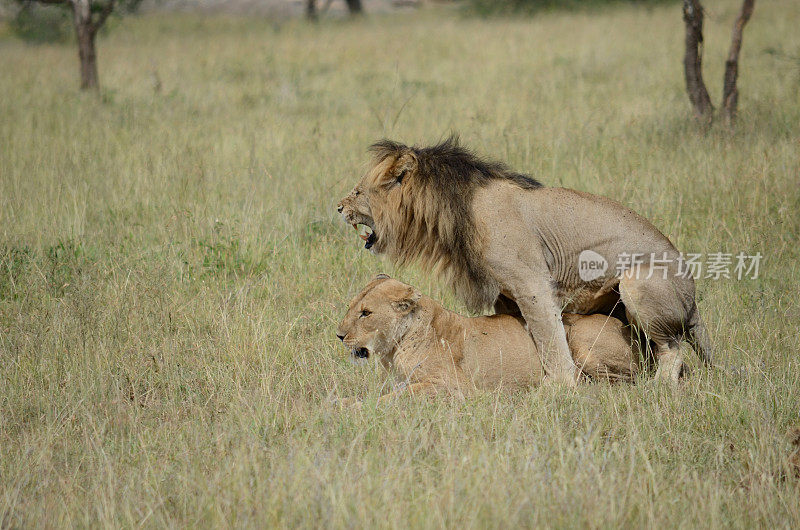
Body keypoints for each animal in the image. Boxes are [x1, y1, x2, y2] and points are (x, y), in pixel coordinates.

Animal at [334, 276, 640, 400]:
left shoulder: (453, 388)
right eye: (352, 307)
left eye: (366, 313)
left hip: (580, 339)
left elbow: (393, 398)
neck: (394, 349)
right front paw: (341, 403)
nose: (339, 335)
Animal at [338, 138, 712, 382]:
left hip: (638, 283)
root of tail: (693, 297)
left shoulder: (532, 284)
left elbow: (550, 339)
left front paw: (561, 387)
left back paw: (658, 390)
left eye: (357, 191)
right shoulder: (505, 295)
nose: (339, 207)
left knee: (672, 350)